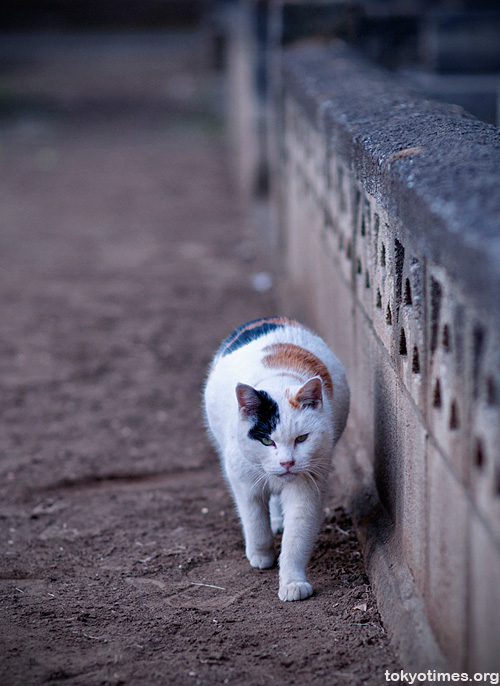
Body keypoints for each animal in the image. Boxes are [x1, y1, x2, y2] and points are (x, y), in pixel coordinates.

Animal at [201, 318, 350, 600]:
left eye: (302, 438)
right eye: (267, 441)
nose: (287, 463)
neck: (278, 384)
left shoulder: (307, 488)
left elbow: (296, 540)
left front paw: (292, 583)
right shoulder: (243, 482)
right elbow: (254, 523)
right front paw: (261, 555)